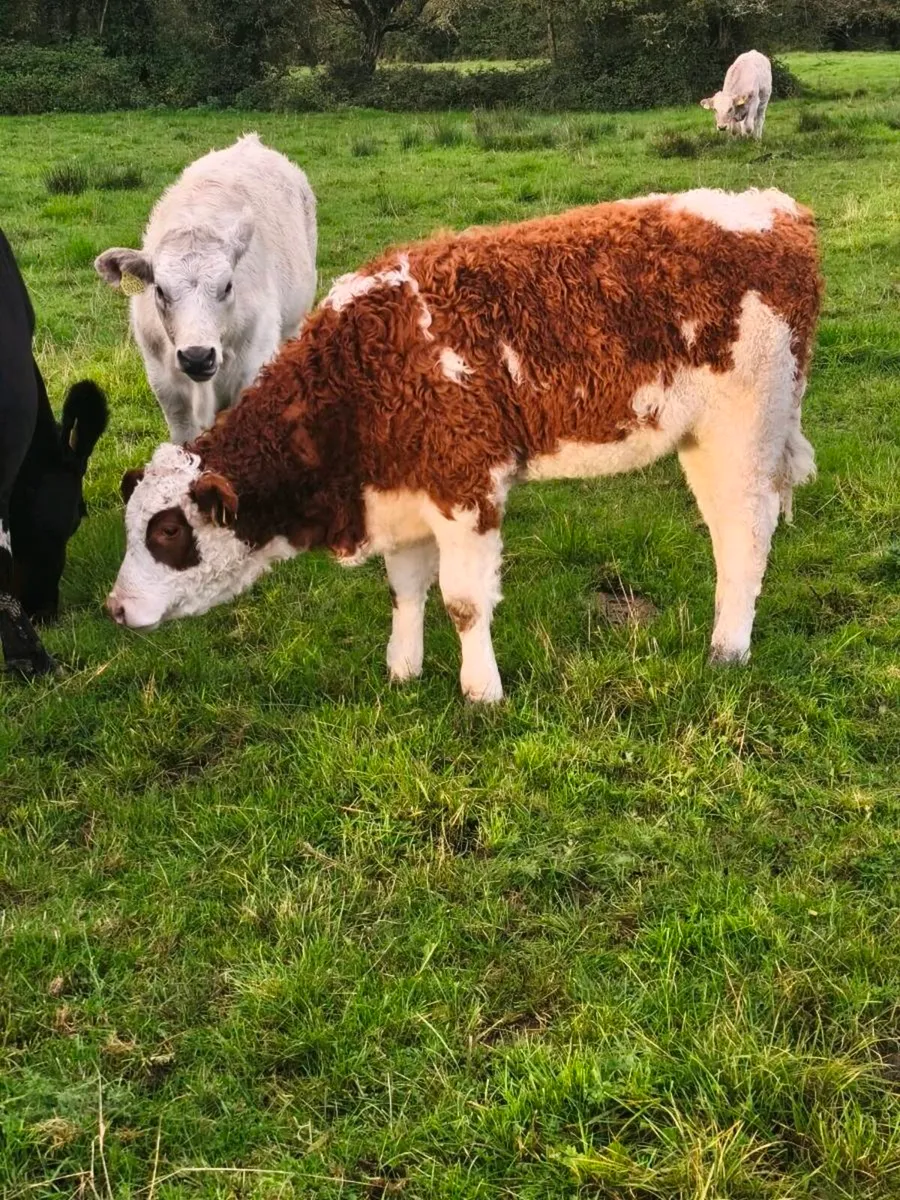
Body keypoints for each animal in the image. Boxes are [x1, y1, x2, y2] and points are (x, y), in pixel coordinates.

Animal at [107, 187, 821, 703]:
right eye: (132, 525)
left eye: (167, 531)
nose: (115, 607)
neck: (362, 373)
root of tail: (776, 209)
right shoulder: (401, 491)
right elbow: (405, 589)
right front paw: (402, 669)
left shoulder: (465, 485)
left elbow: (464, 602)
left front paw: (482, 691)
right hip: (702, 437)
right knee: (727, 529)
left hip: (745, 428)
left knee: (747, 530)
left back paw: (728, 648)